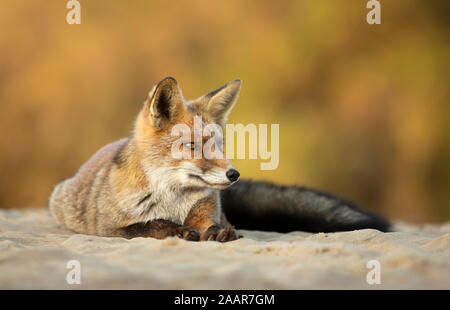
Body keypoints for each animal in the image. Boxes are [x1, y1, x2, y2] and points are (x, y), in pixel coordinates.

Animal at [49, 76, 390, 241]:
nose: (233, 175)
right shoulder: (112, 228)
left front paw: (219, 233)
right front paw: (175, 230)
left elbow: (214, 223)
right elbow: (150, 225)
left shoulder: (208, 211)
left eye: (218, 145)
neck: (173, 200)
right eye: (191, 146)